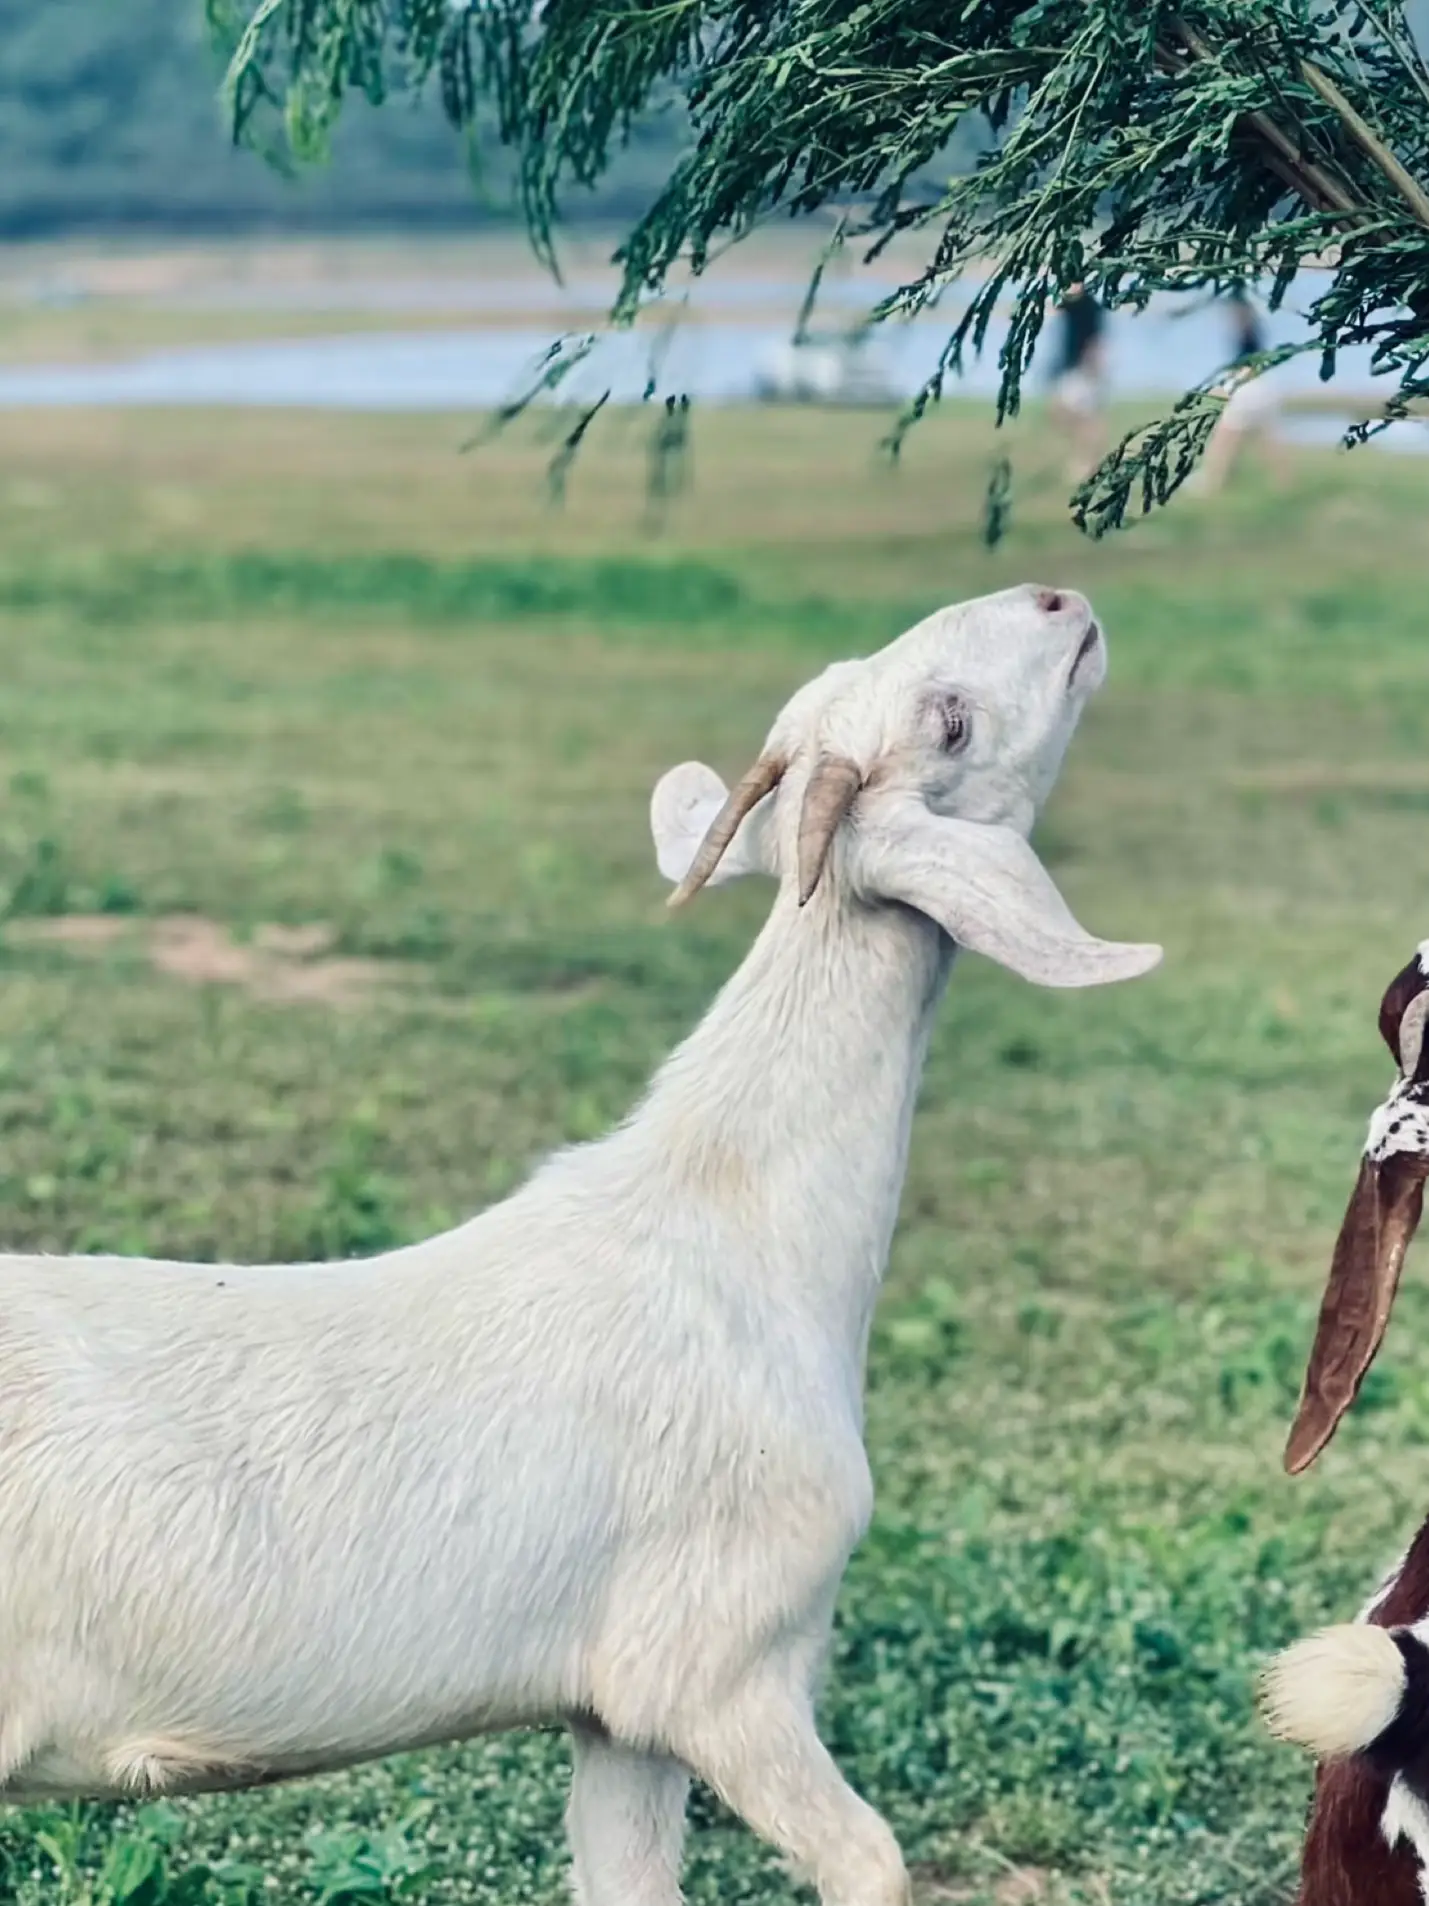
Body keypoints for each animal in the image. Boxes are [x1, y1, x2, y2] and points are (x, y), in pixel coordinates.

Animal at [0, 583, 1166, 1906]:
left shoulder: (617, 1716)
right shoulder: (720, 1663)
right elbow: (869, 1857)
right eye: (950, 721)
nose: (1059, 598)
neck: (742, 1236)